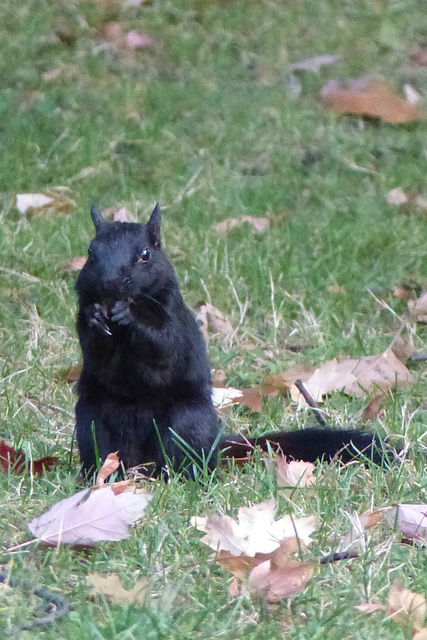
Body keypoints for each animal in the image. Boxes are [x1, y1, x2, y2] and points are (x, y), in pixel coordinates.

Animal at [74, 202, 394, 478]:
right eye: (90, 251)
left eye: (145, 254)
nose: (109, 284)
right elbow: (91, 345)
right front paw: (95, 317)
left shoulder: (174, 320)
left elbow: (164, 345)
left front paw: (129, 315)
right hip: (93, 421)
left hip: (186, 423)